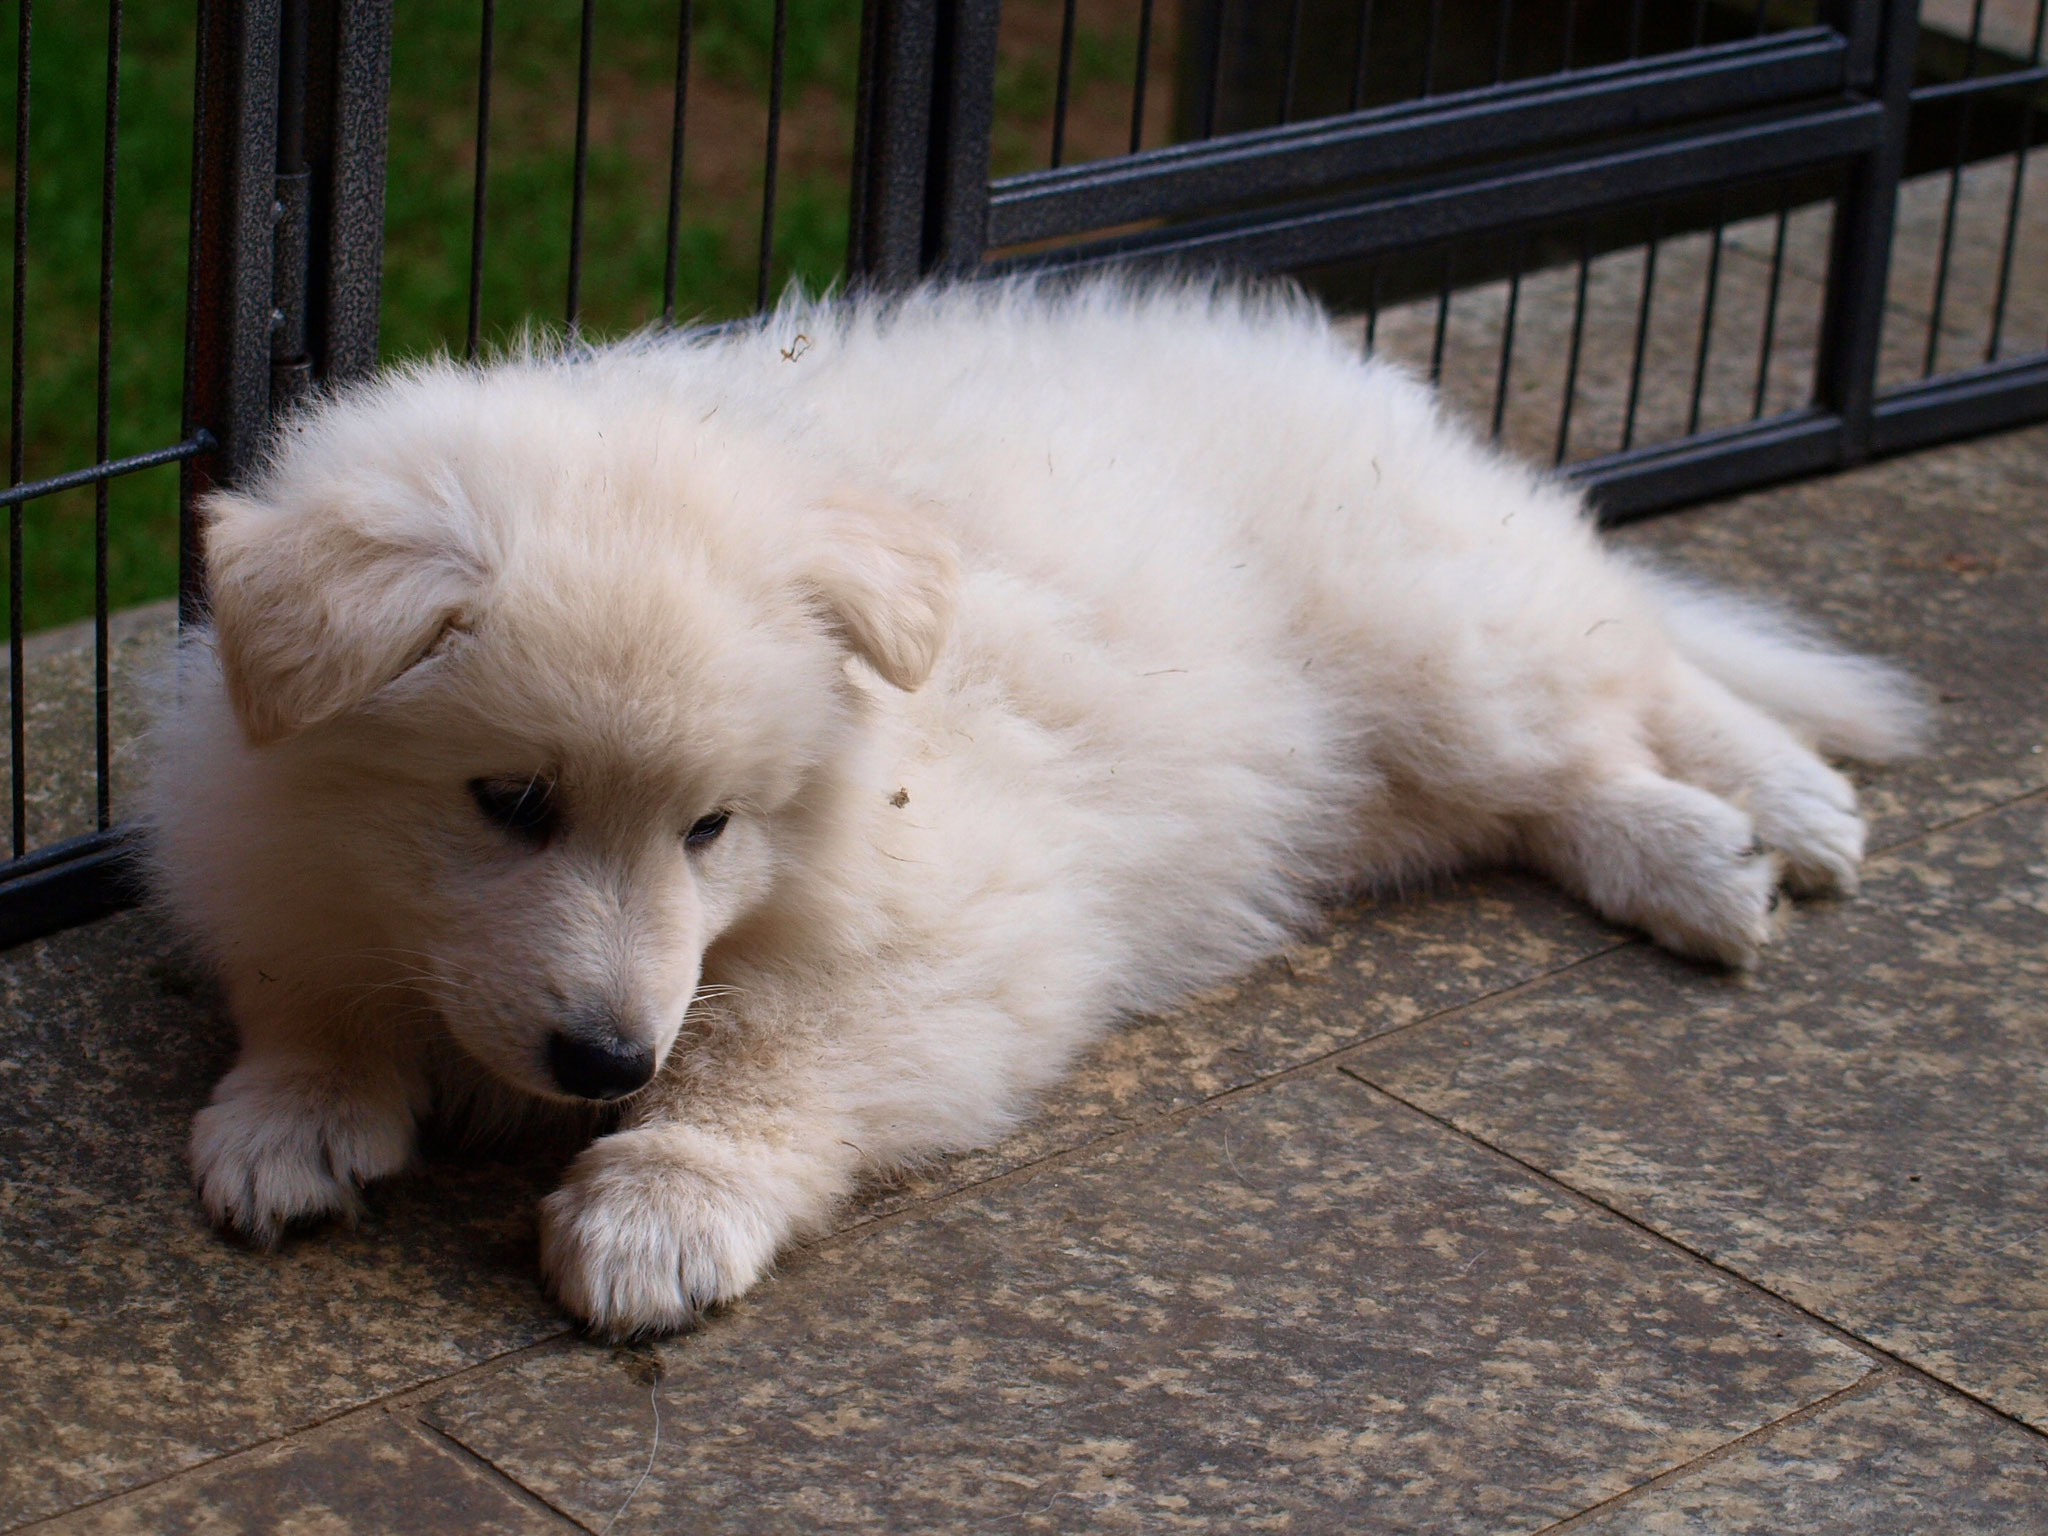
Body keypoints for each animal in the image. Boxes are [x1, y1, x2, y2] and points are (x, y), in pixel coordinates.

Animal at [144, 276, 1916, 1335]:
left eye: (714, 827)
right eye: (509, 800)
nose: (605, 1063)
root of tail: (1367, 387)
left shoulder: (962, 927)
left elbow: (780, 1050)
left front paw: (662, 1204)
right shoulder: (277, 850)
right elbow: (306, 986)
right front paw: (298, 1112)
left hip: (1438, 646)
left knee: (1619, 678)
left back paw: (1767, 817)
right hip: (1393, 770)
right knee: (1561, 774)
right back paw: (1724, 847)